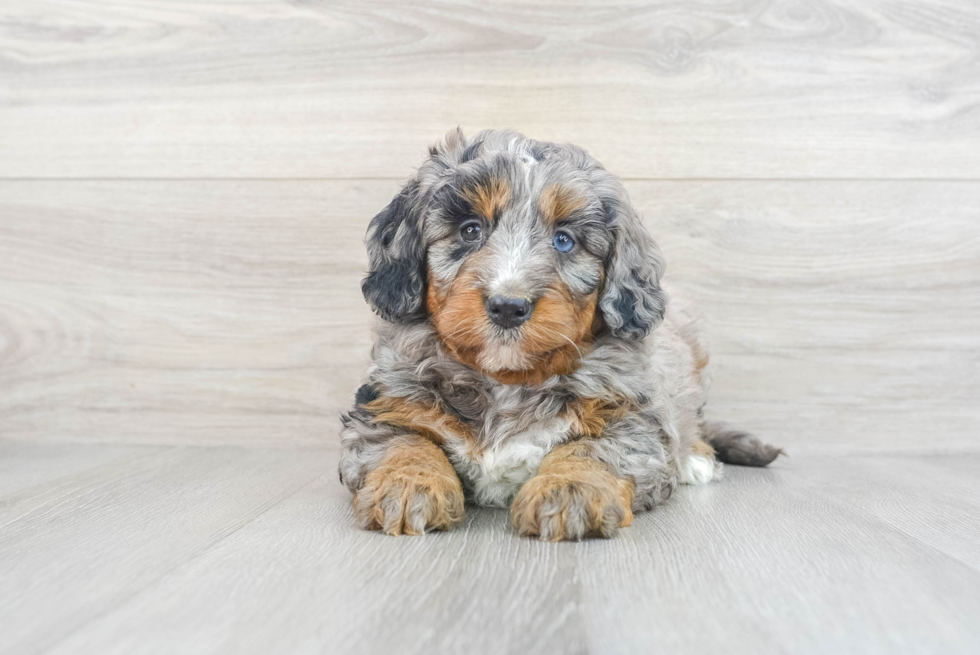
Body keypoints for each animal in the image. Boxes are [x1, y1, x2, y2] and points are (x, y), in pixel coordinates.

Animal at [340, 129, 784, 544]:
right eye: (469, 230)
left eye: (564, 240)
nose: (508, 306)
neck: (507, 380)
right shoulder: (386, 403)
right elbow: (403, 442)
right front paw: (407, 485)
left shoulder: (629, 416)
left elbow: (591, 450)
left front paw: (569, 491)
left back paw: (697, 458)